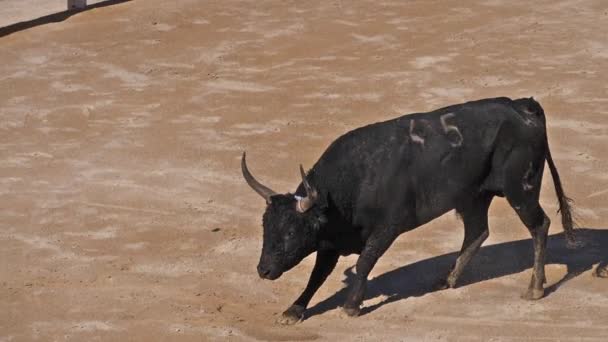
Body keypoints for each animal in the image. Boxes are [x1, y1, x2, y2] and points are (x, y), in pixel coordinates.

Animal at [241, 96, 592, 324]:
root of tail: (523, 107)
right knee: (477, 231)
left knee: (539, 225)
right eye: (265, 227)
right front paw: (293, 310)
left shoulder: (387, 228)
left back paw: (535, 288)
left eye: (291, 231)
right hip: (473, 195)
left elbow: (366, 261)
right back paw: (447, 280)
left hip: (521, 189)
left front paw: (351, 306)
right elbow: (317, 275)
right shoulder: (329, 241)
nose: (263, 270)